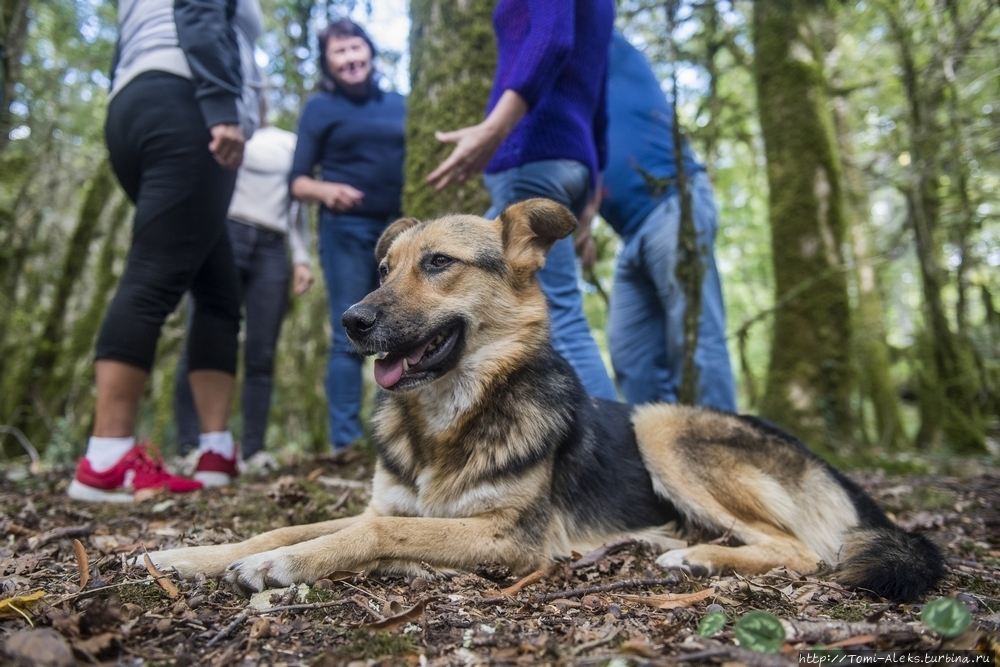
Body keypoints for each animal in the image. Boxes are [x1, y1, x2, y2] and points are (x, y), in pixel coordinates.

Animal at [145, 196, 940, 604]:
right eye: (385, 267)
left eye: (439, 263)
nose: (351, 320)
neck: (447, 421)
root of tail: (827, 466)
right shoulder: (386, 504)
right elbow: (284, 527)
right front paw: (188, 553)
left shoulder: (510, 539)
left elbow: (367, 537)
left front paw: (284, 567)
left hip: (662, 425)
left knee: (802, 550)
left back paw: (697, 559)